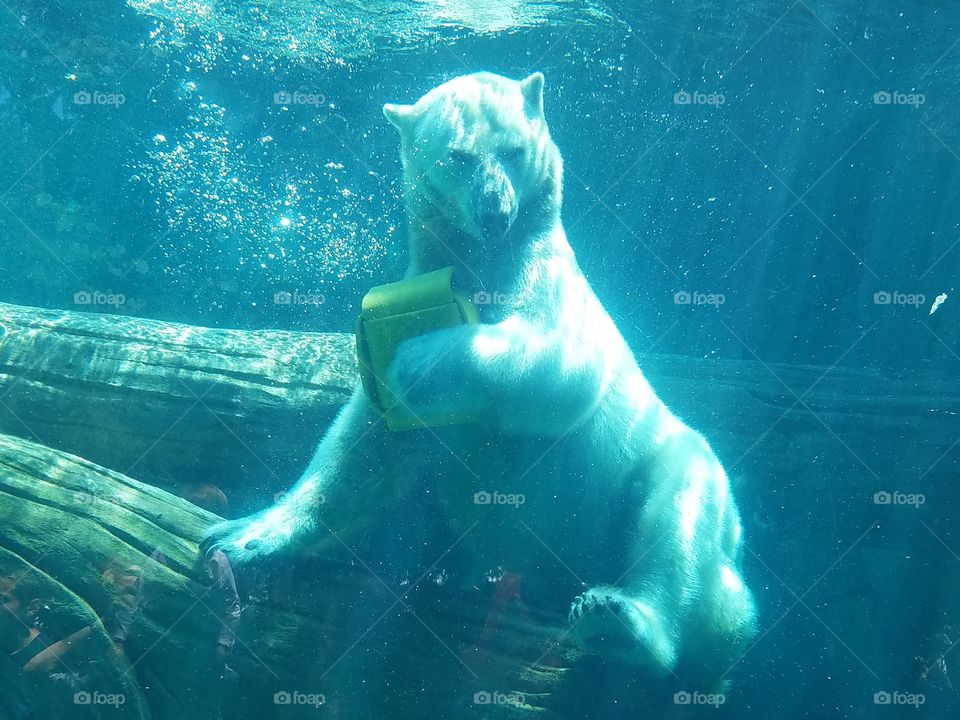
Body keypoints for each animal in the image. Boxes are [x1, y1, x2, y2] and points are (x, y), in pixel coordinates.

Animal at [203, 71, 757, 684]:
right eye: (460, 157)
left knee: (677, 510)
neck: (485, 255)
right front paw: (240, 535)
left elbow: (563, 369)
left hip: (670, 482)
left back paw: (619, 620)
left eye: (513, 150)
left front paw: (417, 360)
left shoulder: (548, 281)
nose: (495, 212)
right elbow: (365, 452)